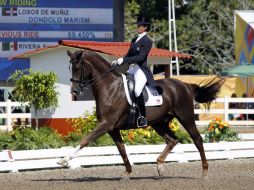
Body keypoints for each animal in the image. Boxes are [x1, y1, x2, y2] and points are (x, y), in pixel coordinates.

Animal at [57, 49, 224, 177]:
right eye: (71, 68)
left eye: (78, 67)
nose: (75, 91)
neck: (109, 87)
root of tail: (185, 85)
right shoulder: (112, 128)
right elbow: (122, 150)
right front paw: (127, 173)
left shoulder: (106, 124)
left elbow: (85, 140)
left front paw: (64, 160)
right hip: (159, 122)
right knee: (172, 140)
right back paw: (160, 165)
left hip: (185, 116)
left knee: (197, 140)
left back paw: (204, 172)